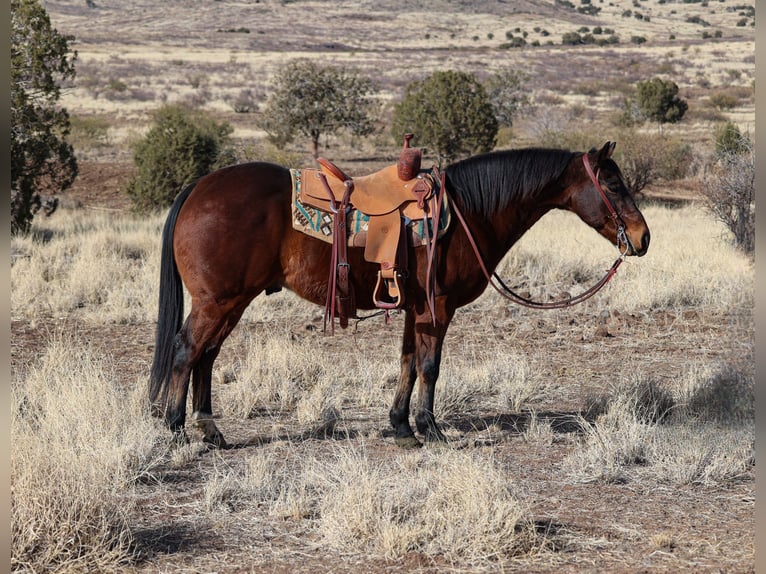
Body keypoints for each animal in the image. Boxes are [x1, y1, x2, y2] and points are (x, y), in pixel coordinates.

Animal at [152, 141, 656, 450]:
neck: (469, 212)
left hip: (232, 302)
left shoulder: (415, 308)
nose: (642, 237)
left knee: (207, 356)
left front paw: (401, 428)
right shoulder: (438, 308)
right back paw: (176, 430)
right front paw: (431, 430)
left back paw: (210, 430)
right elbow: (430, 367)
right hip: (219, 301)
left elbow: (408, 363)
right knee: (186, 350)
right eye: (612, 184)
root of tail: (199, 186)